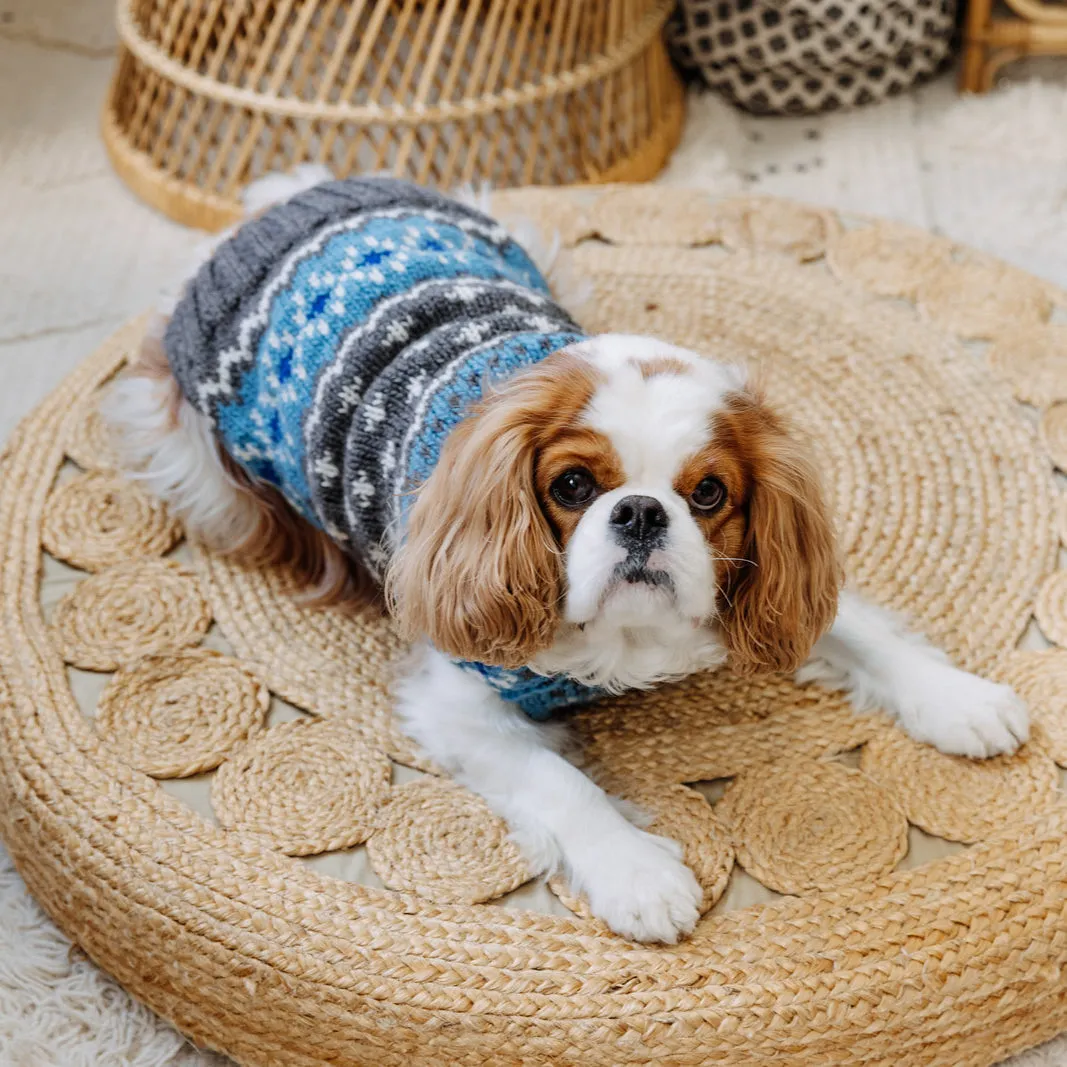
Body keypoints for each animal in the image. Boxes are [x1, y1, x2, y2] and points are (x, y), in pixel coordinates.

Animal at [104, 170, 1028, 947]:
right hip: (202, 466)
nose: (642, 512)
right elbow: (559, 780)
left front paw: (956, 696)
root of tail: (279, 202)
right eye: (574, 484)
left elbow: (861, 630)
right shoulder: (457, 694)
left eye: (708, 494)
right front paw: (637, 873)